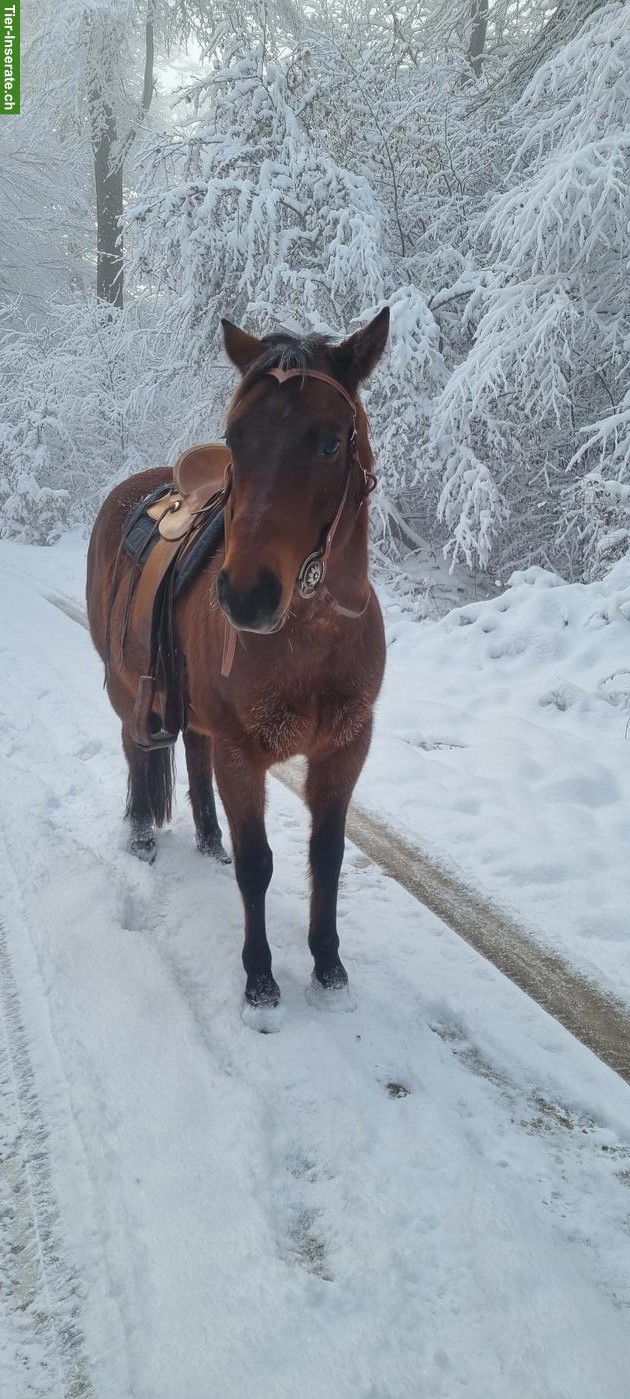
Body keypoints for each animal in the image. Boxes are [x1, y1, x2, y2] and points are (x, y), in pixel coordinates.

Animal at [86, 307, 389, 1008]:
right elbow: (259, 865)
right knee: (136, 750)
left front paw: (329, 967)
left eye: (329, 442)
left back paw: (207, 838)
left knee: (192, 755)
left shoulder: (346, 748)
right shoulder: (242, 754)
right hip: (125, 688)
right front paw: (260, 981)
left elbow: (326, 855)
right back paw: (142, 834)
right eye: (235, 439)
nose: (246, 596)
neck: (308, 641)